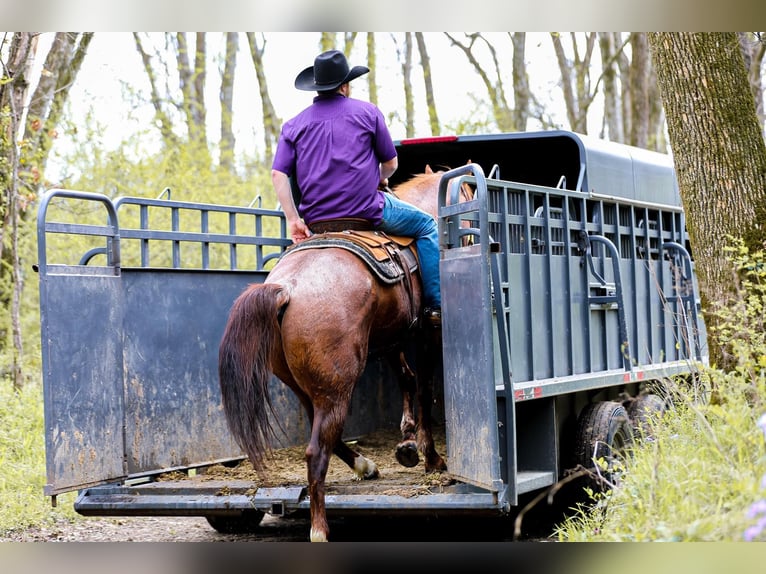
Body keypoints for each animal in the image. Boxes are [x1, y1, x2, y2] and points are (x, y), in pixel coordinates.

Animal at [219, 168, 464, 544]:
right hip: (337, 388)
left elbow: (406, 379)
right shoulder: (425, 333)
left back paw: (365, 465)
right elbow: (424, 389)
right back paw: (319, 528)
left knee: (326, 436)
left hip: (308, 387)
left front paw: (407, 439)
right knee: (317, 450)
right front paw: (429, 455)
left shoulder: (392, 339)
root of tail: (286, 288)